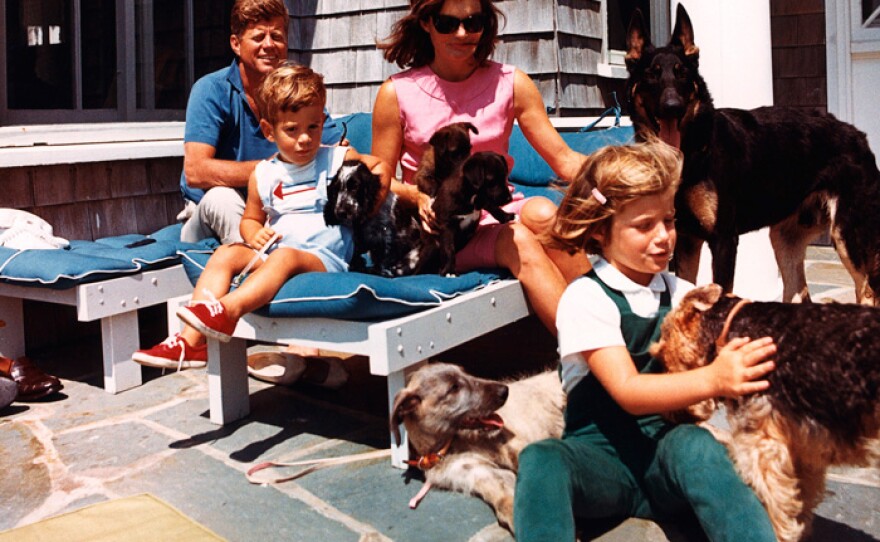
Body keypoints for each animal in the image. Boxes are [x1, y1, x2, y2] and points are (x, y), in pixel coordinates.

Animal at [648, 284, 880, 542]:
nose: (668, 415)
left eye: (660, 353)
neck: (732, 328)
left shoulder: (762, 446)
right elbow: (800, 502)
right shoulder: (802, 448)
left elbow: (777, 511)